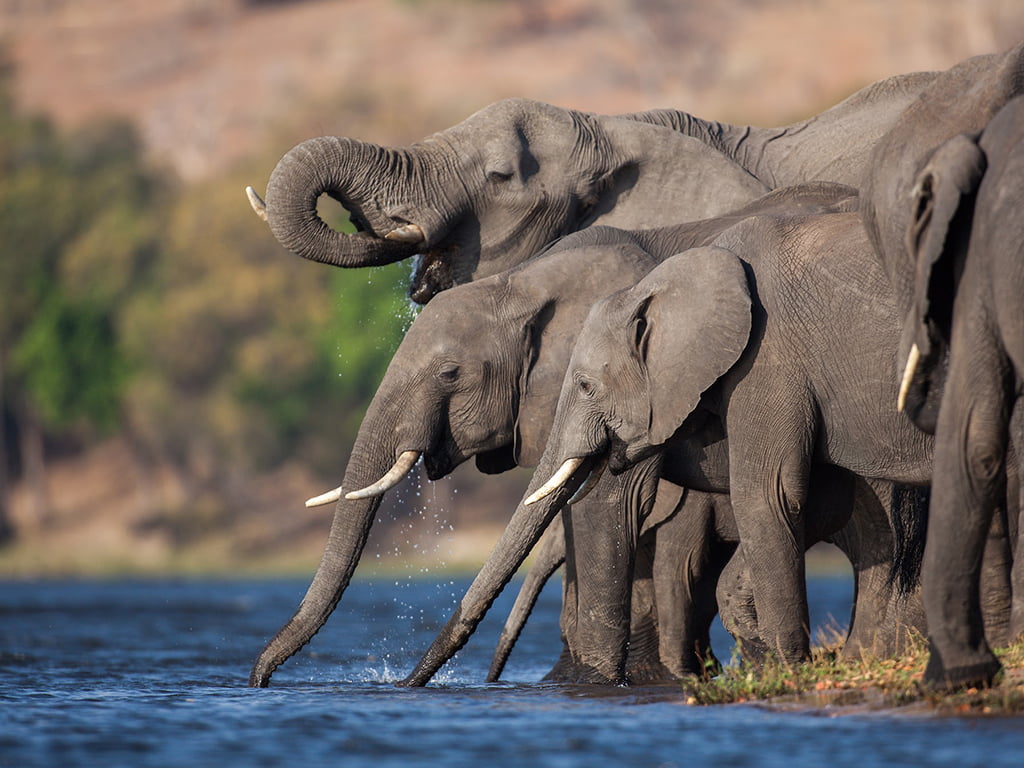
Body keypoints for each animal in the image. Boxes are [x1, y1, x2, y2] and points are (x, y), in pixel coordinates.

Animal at [247, 183, 856, 688]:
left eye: (450, 374)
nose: (259, 681)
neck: (523, 284)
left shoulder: (636, 386)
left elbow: (604, 505)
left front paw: (595, 685)